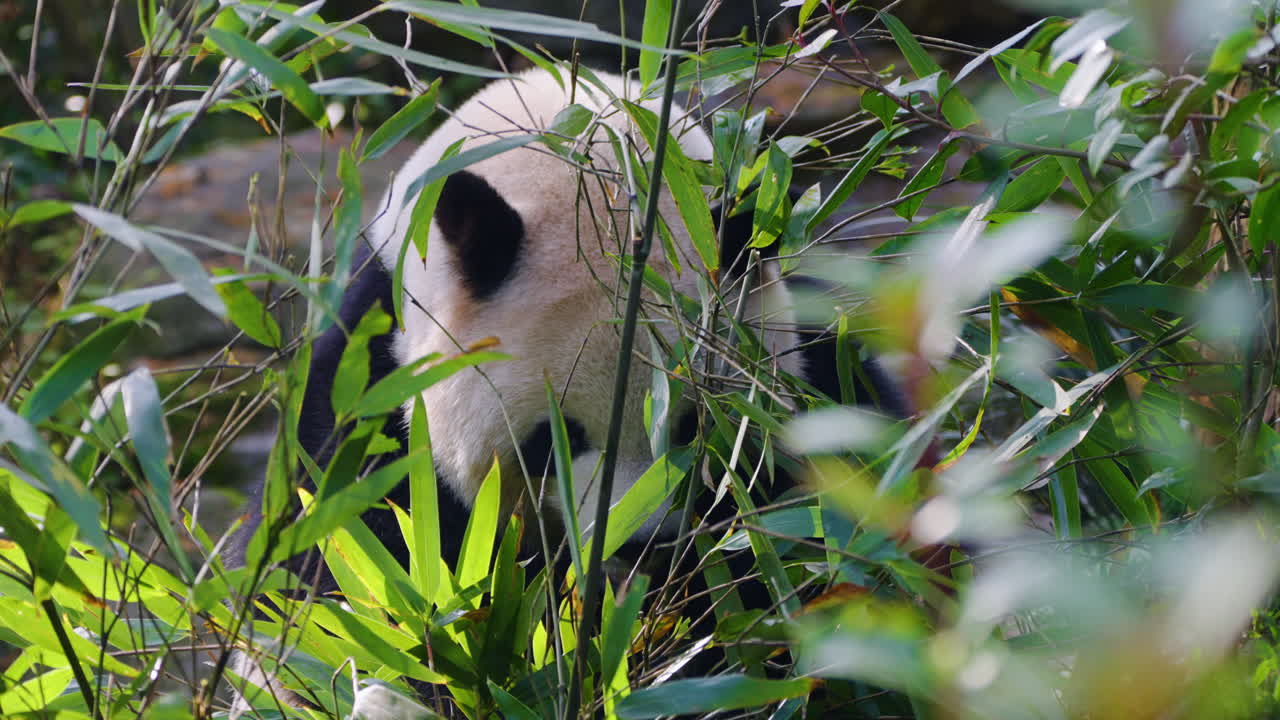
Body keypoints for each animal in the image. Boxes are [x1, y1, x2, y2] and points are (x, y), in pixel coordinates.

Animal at [230, 65, 905, 711]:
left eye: (694, 424)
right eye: (553, 441)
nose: (648, 543)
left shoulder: (819, 371)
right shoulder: (369, 400)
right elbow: (362, 589)